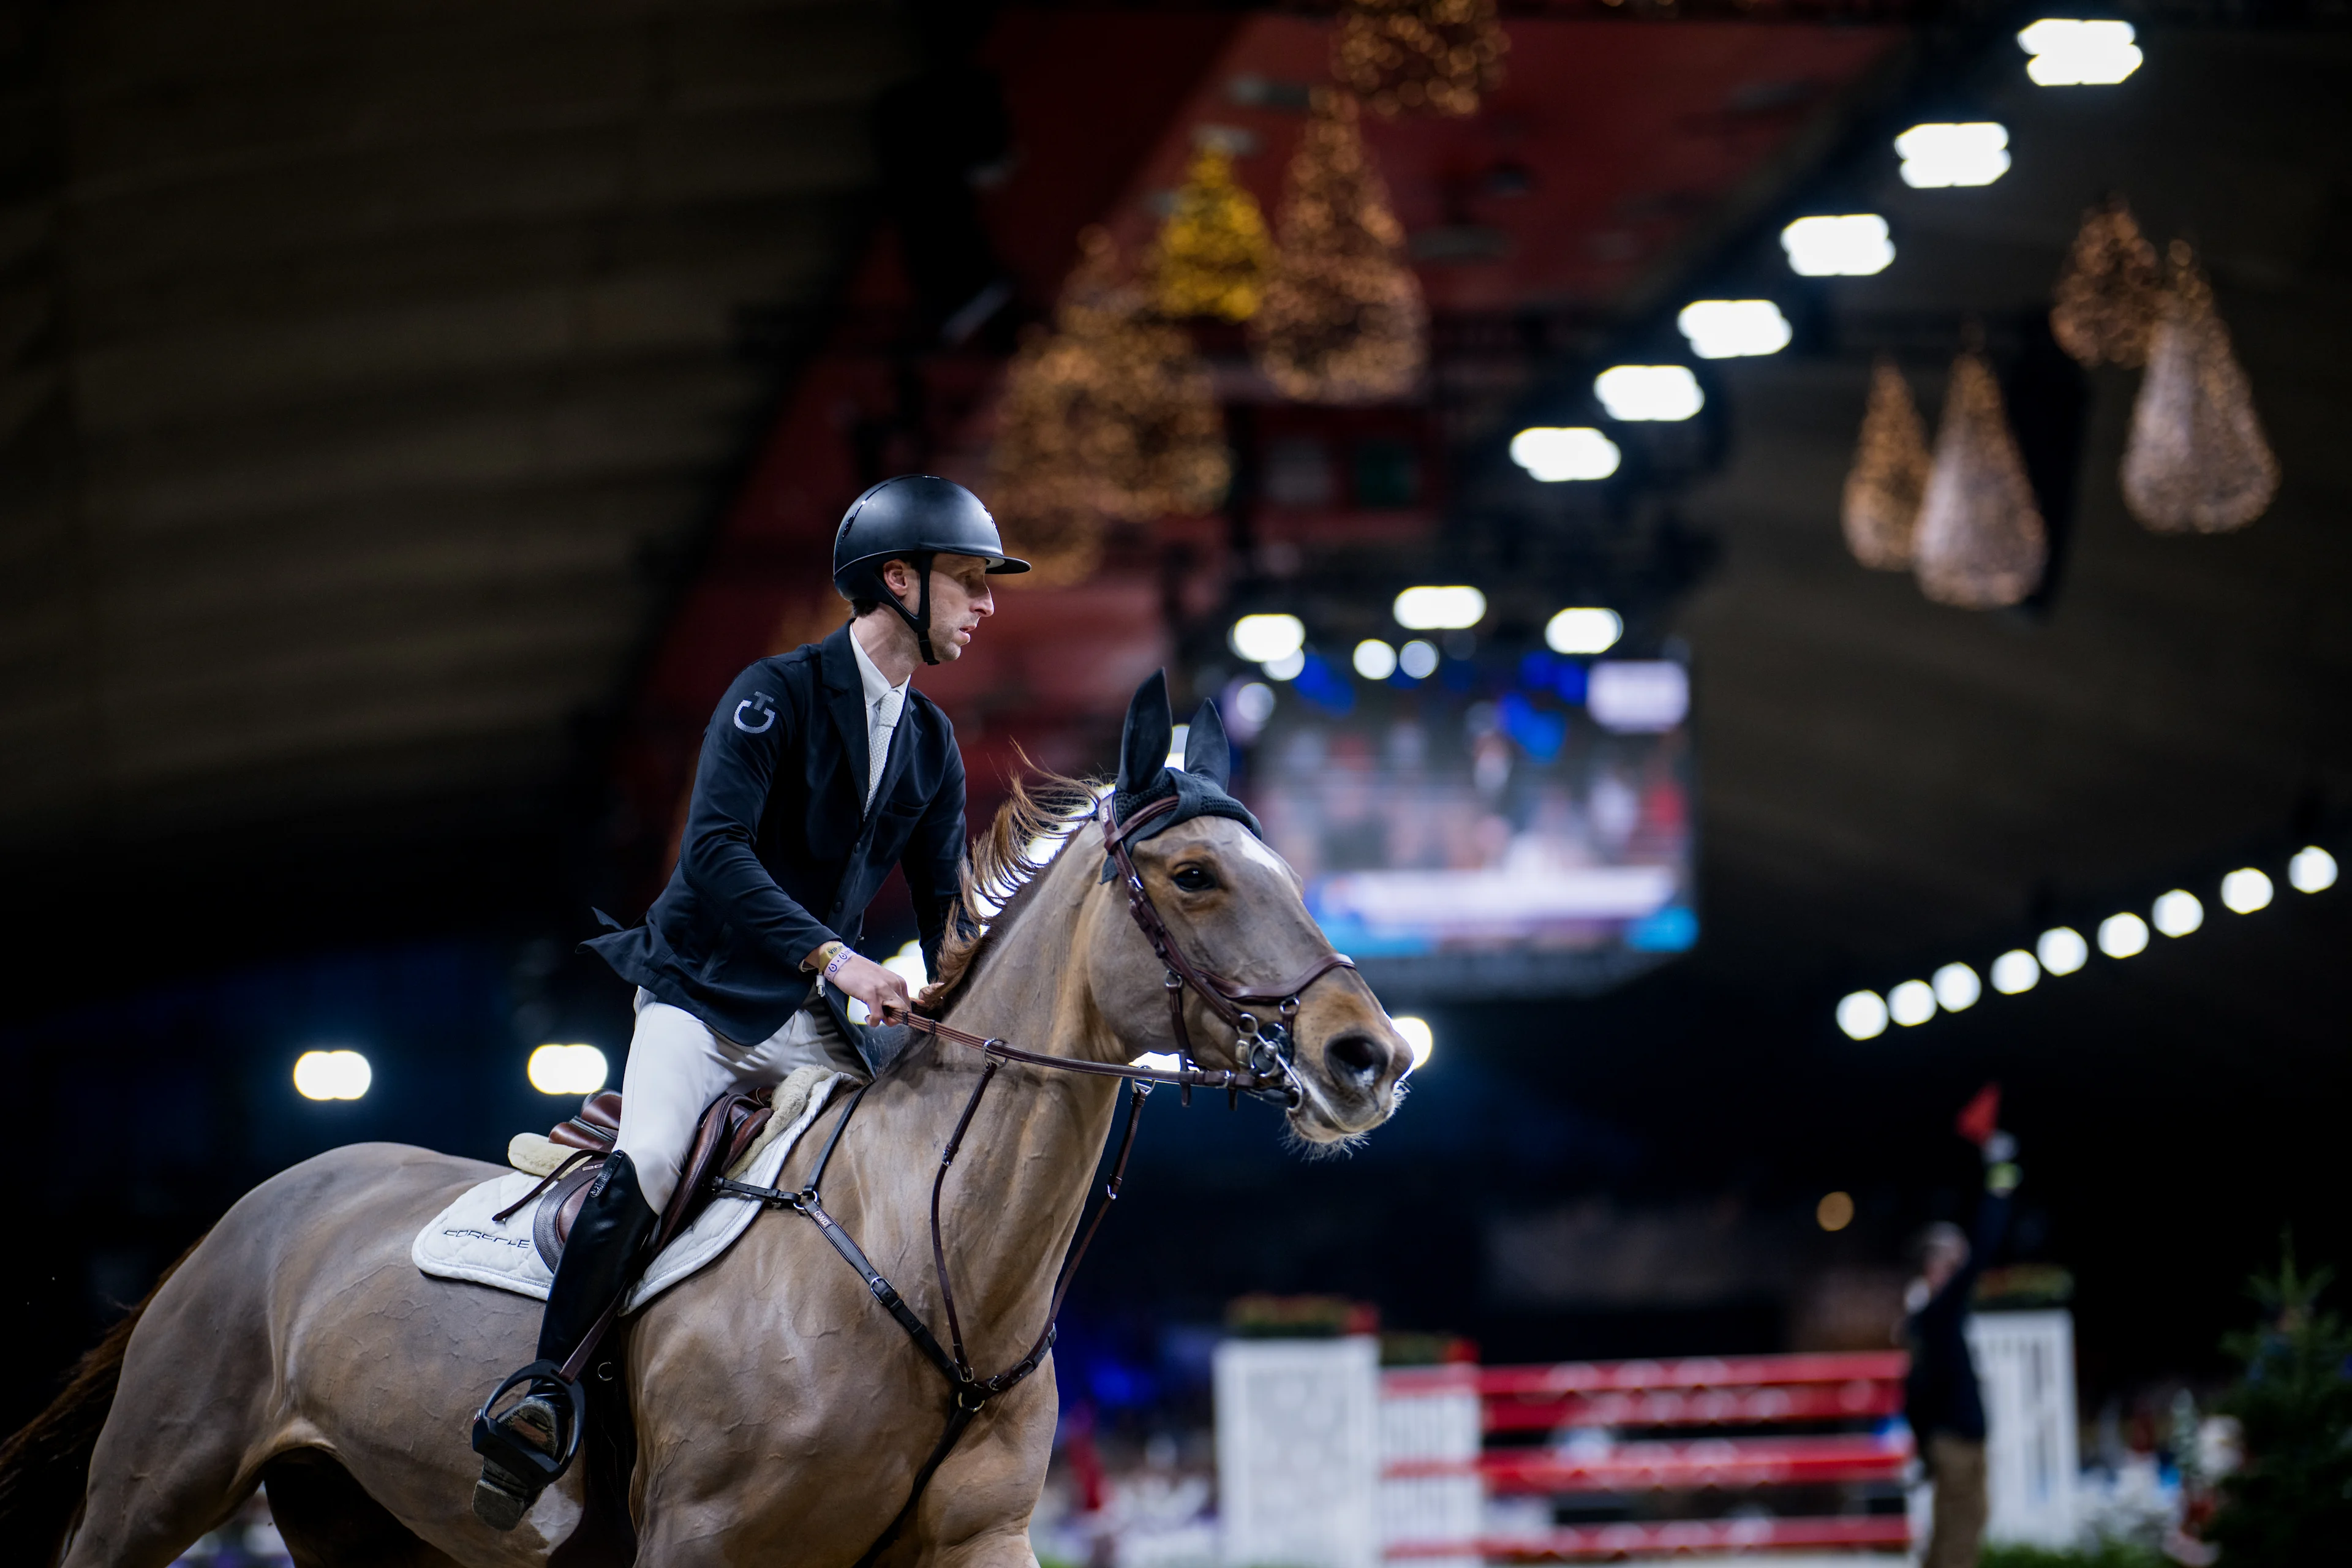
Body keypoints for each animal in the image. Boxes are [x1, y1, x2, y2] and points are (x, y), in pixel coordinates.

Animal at [0, 710, 1401, 1568]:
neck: (937, 1254)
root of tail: (248, 1213)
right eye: (1195, 877)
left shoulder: (983, 1540)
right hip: (156, 1485)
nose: (1368, 1057)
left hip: (364, 1518)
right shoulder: (704, 1539)